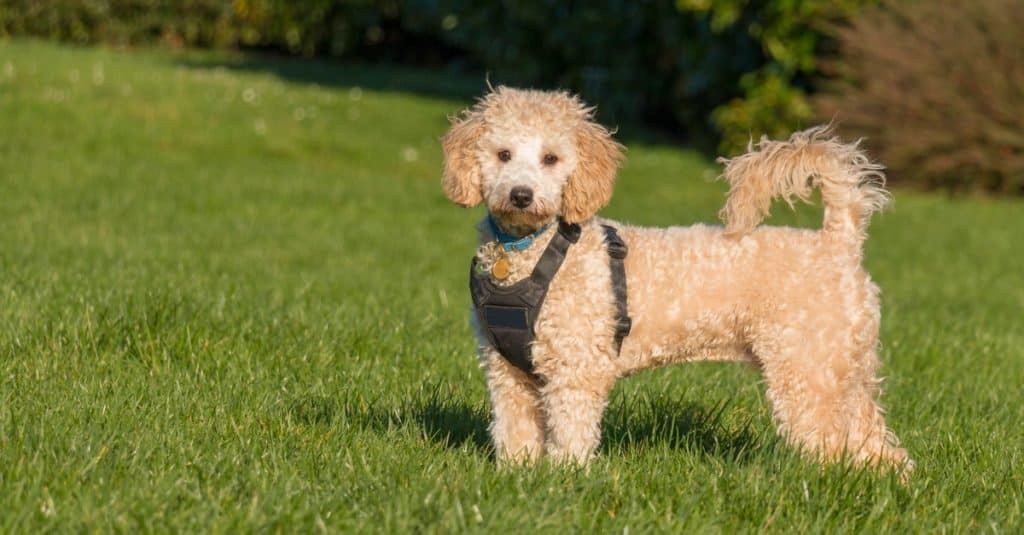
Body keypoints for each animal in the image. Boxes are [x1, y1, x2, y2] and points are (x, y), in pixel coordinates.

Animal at [440, 85, 913, 473]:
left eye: (551, 159)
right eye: (503, 154)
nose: (521, 194)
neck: (532, 252)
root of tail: (839, 240)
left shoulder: (576, 368)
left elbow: (571, 433)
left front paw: (563, 479)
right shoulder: (507, 371)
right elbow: (515, 433)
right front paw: (518, 478)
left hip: (806, 369)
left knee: (831, 444)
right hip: (845, 369)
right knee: (877, 445)